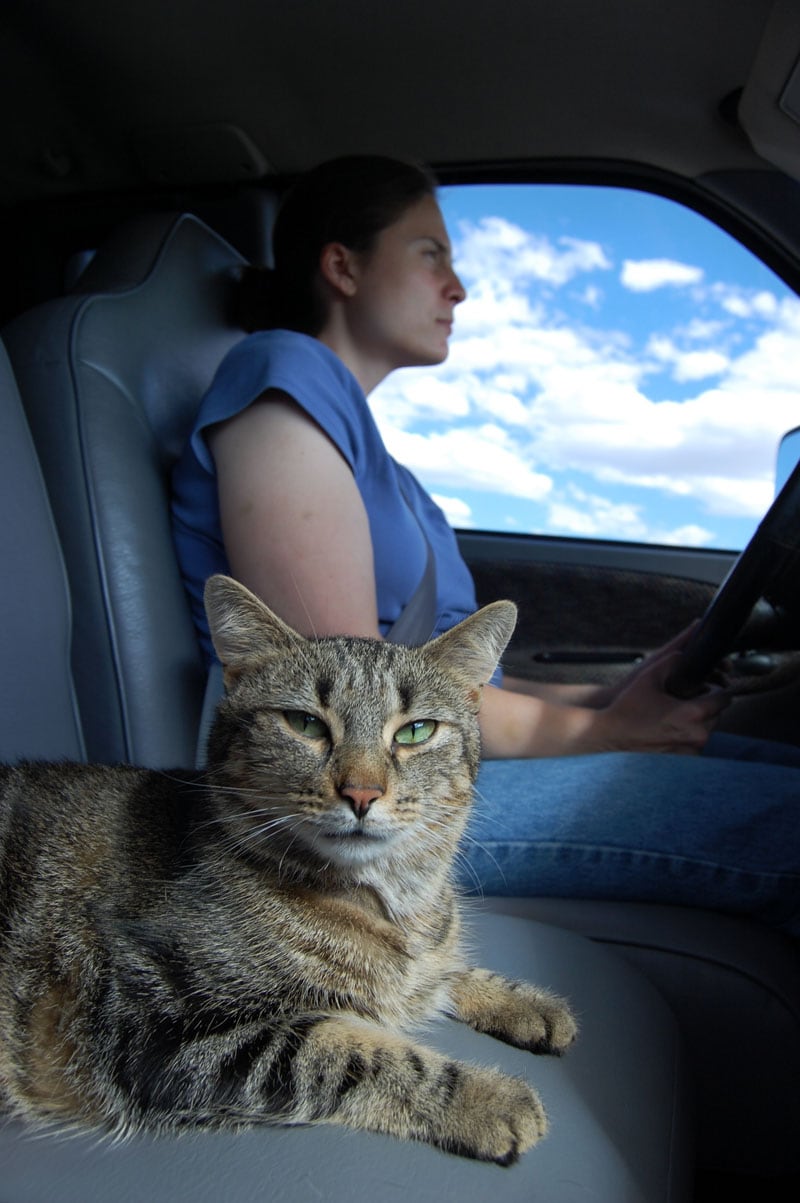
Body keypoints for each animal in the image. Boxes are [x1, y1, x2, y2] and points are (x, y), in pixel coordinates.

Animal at [0, 572, 575, 1164]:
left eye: (415, 731)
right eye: (305, 724)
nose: (362, 793)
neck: (394, 901)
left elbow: (447, 969)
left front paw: (525, 1002)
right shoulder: (157, 1026)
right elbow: (352, 1054)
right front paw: (487, 1097)